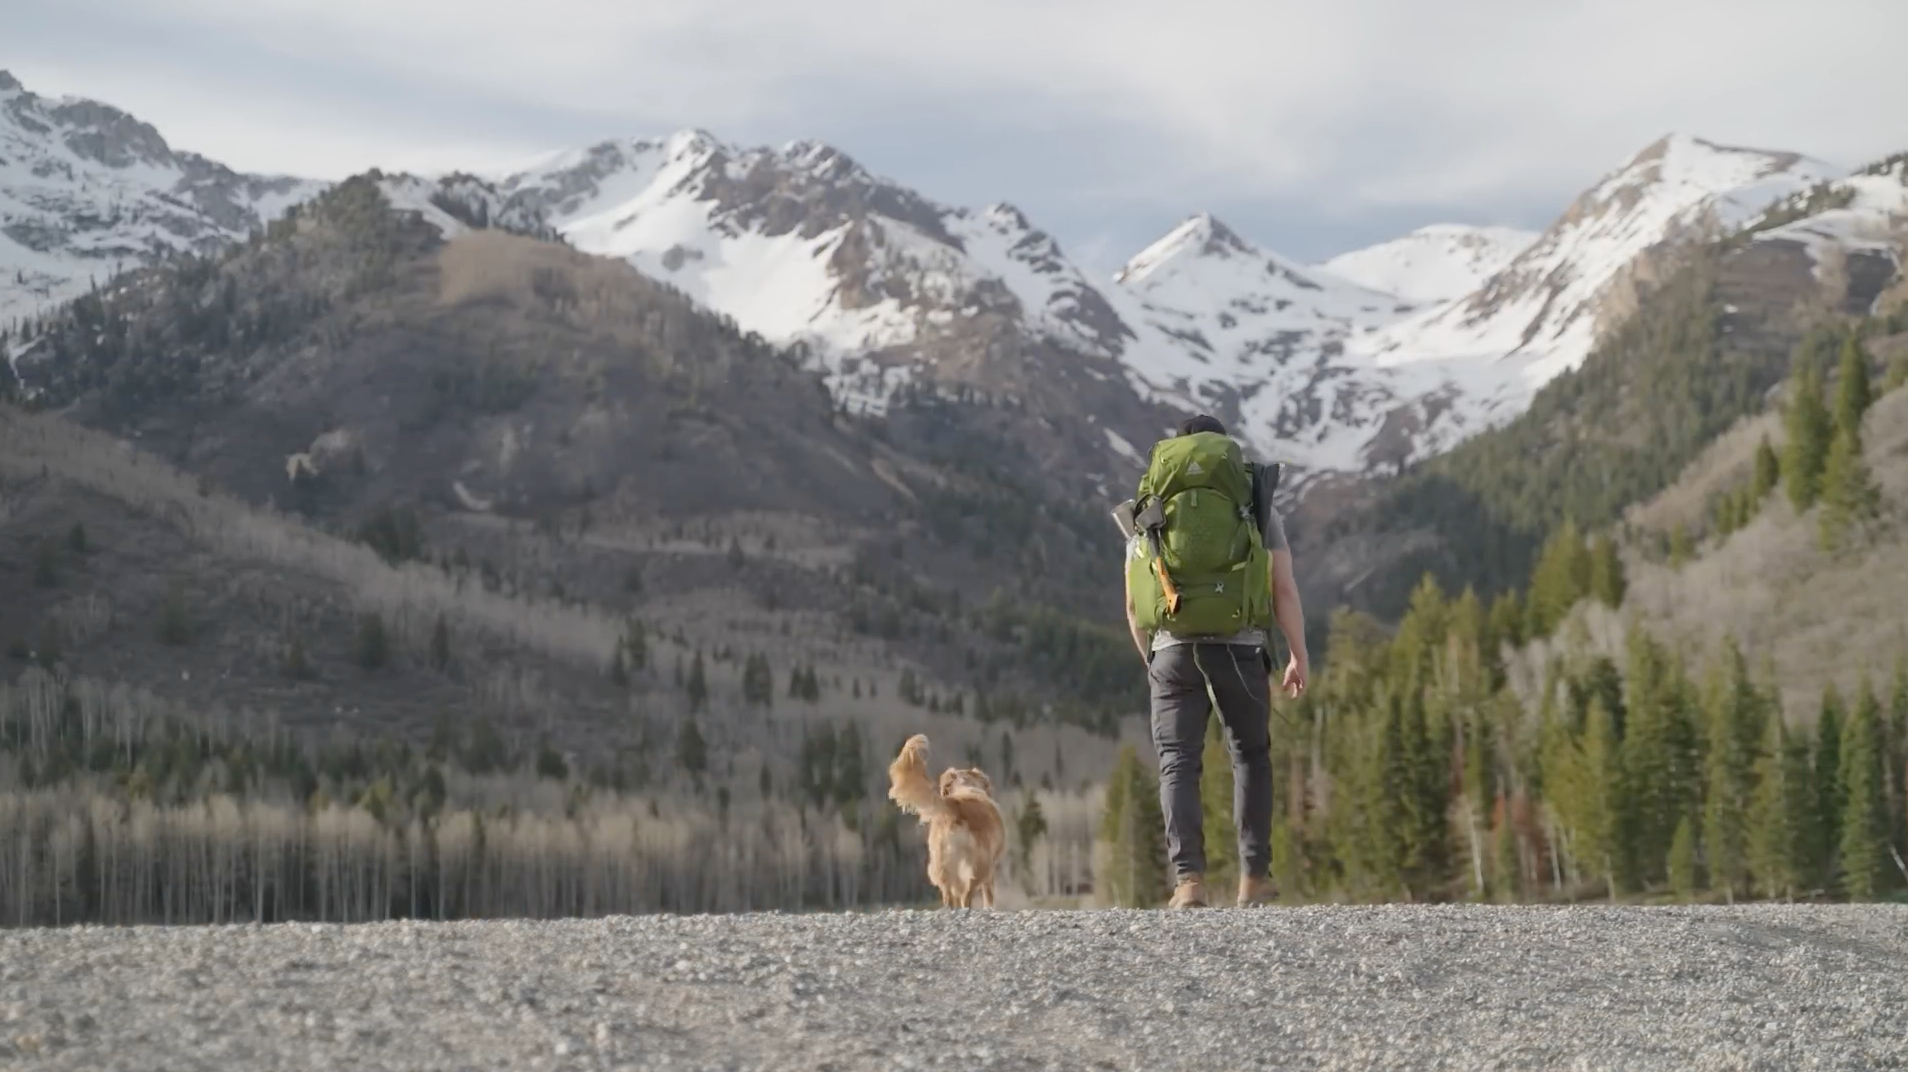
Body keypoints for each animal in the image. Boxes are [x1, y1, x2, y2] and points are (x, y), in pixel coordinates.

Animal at [892, 732, 1015, 900]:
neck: (966, 787)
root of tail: (953, 806)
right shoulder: (990, 871)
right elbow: (989, 898)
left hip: (943, 869)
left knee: (950, 896)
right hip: (978, 867)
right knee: (966, 894)